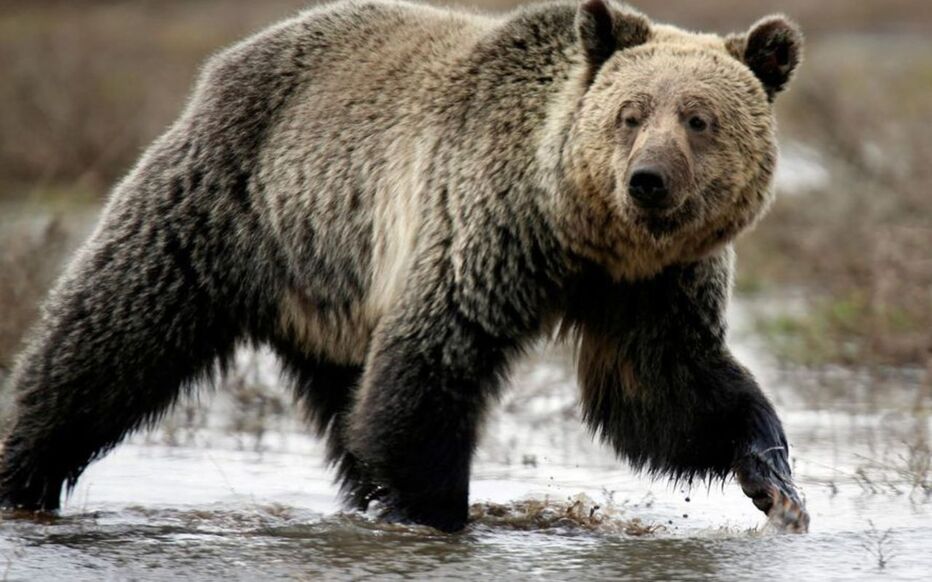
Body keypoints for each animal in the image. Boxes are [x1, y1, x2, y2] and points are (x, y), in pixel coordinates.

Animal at [0, 0, 808, 536]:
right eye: (631, 113)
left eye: (699, 119)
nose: (647, 180)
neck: (582, 233)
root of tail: (230, 58)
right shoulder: (483, 226)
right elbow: (432, 366)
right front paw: (436, 512)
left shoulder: (653, 284)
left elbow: (665, 389)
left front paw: (774, 479)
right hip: (227, 206)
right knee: (109, 338)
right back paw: (23, 474)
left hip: (332, 286)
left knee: (346, 405)